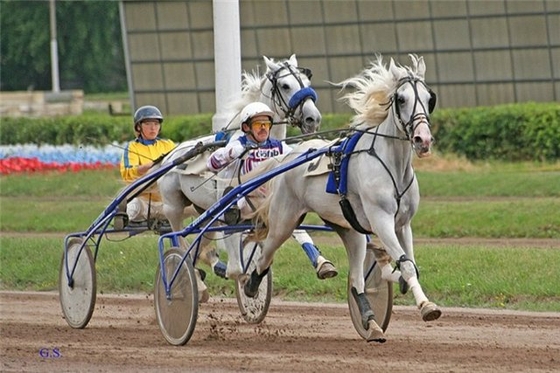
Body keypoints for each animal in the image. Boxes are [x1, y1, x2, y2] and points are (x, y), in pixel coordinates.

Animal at [158, 53, 324, 282]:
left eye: (307, 83)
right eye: (285, 85)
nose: (312, 118)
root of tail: (172, 153)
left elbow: (296, 231)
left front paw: (323, 264)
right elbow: (236, 260)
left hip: (204, 211)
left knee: (199, 244)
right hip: (173, 206)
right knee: (179, 241)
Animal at [244, 53, 442, 342]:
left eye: (429, 98)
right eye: (401, 99)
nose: (422, 139)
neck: (391, 163)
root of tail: (289, 156)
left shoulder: (402, 224)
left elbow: (409, 265)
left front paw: (397, 277)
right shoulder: (382, 220)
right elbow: (406, 265)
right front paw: (427, 306)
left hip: (350, 230)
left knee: (357, 280)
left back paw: (370, 321)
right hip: (284, 219)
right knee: (265, 254)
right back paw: (250, 286)